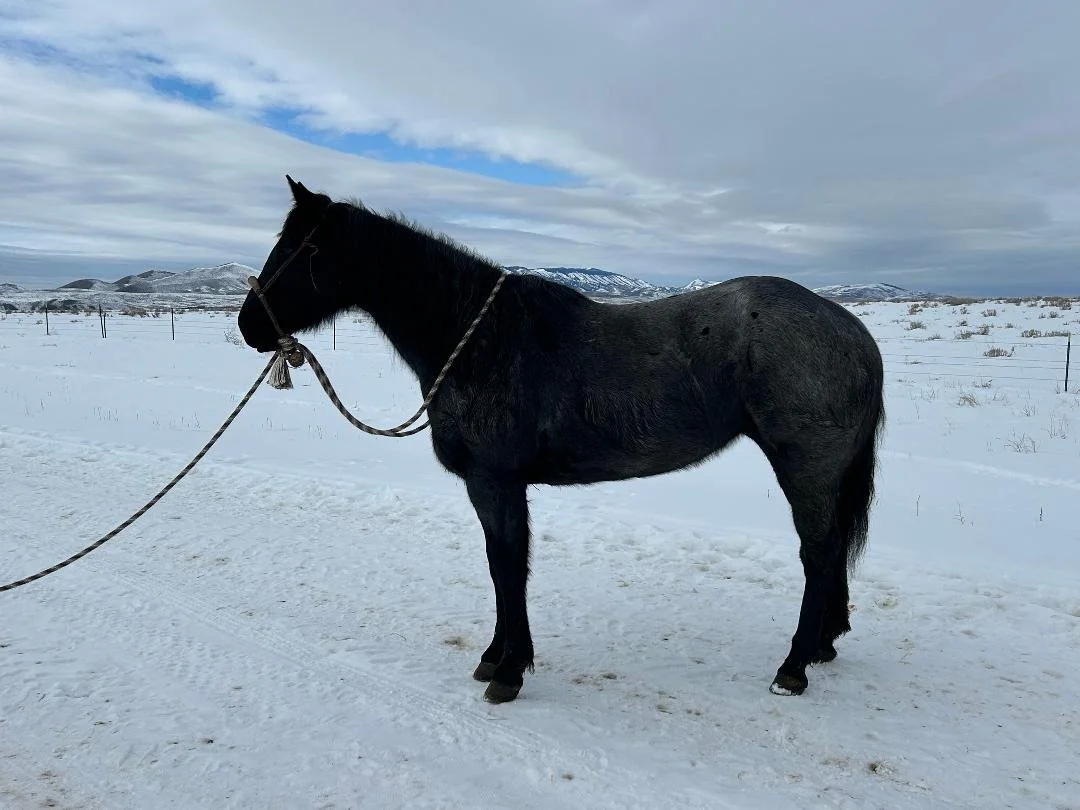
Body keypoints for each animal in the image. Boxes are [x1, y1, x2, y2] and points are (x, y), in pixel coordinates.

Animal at [238, 175, 886, 703]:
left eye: (303, 247)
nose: (249, 325)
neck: (478, 338)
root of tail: (851, 330)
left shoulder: (495, 481)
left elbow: (508, 566)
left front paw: (508, 671)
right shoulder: (493, 486)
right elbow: (501, 564)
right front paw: (496, 656)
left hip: (805, 469)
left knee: (819, 554)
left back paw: (793, 668)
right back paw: (821, 646)